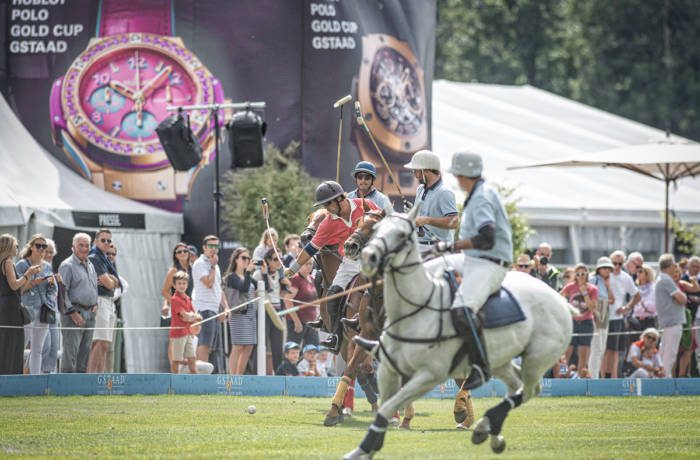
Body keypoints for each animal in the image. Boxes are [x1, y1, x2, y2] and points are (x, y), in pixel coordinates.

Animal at [342, 207, 572, 458]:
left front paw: (397, 420)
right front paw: (340, 419)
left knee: (520, 386)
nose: (353, 247)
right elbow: (360, 377)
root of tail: (559, 299)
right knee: (514, 384)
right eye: (367, 225)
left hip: (534, 357)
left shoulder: (429, 370)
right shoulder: (377, 350)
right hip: (500, 359)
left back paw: (473, 420)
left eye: (400, 234)